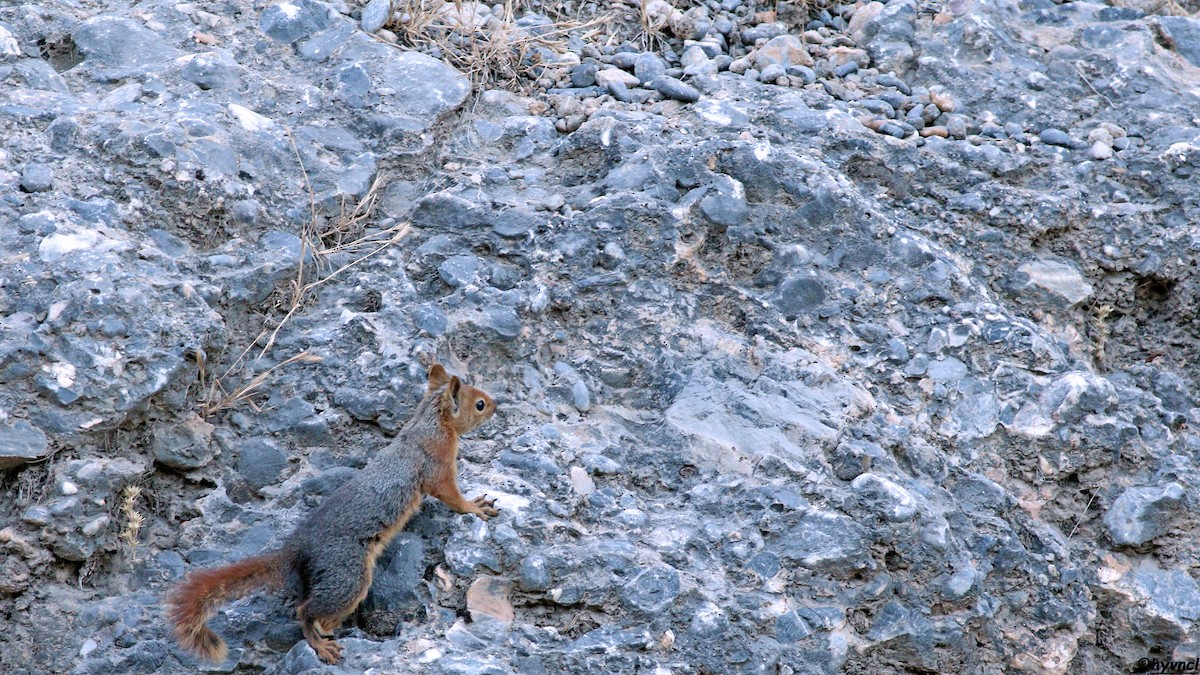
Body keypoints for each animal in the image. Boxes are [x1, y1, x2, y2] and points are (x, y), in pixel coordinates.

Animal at [166, 363, 499, 665]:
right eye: (479, 404)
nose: (497, 405)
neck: (430, 420)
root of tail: (298, 549)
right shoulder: (437, 464)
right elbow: (450, 494)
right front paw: (474, 506)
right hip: (347, 575)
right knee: (307, 610)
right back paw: (321, 644)